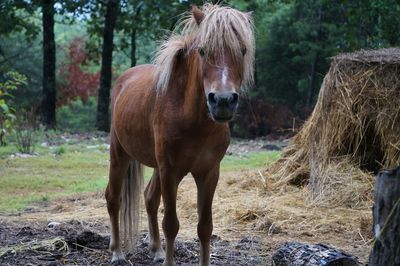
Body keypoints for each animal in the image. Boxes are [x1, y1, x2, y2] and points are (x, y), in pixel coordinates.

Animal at [106, 4, 255, 266]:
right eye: (203, 51)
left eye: (243, 50)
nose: (223, 101)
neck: (192, 118)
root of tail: (123, 80)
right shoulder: (170, 171)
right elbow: (171, 224)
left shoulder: (209, 172)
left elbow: (205, 227)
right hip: (119, 154)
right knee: (114, 199)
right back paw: (117, 253)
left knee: (149, 198)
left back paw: (156, 249)